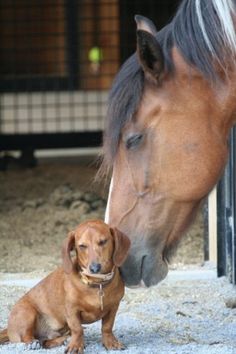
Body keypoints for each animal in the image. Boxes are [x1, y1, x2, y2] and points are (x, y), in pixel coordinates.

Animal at [0, 220, 130, 352]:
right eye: (82, 246)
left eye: (103, 241)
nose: (94, 268)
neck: (97, 284)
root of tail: (9, 328)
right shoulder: (72, 310)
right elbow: (78, 329)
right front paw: (76, 346)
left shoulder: (113, 307)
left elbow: (107, 327)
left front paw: (110, 342)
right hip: (27, 313)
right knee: (26, 336)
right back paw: (32, 342)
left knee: (46, 342)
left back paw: (63, 340)